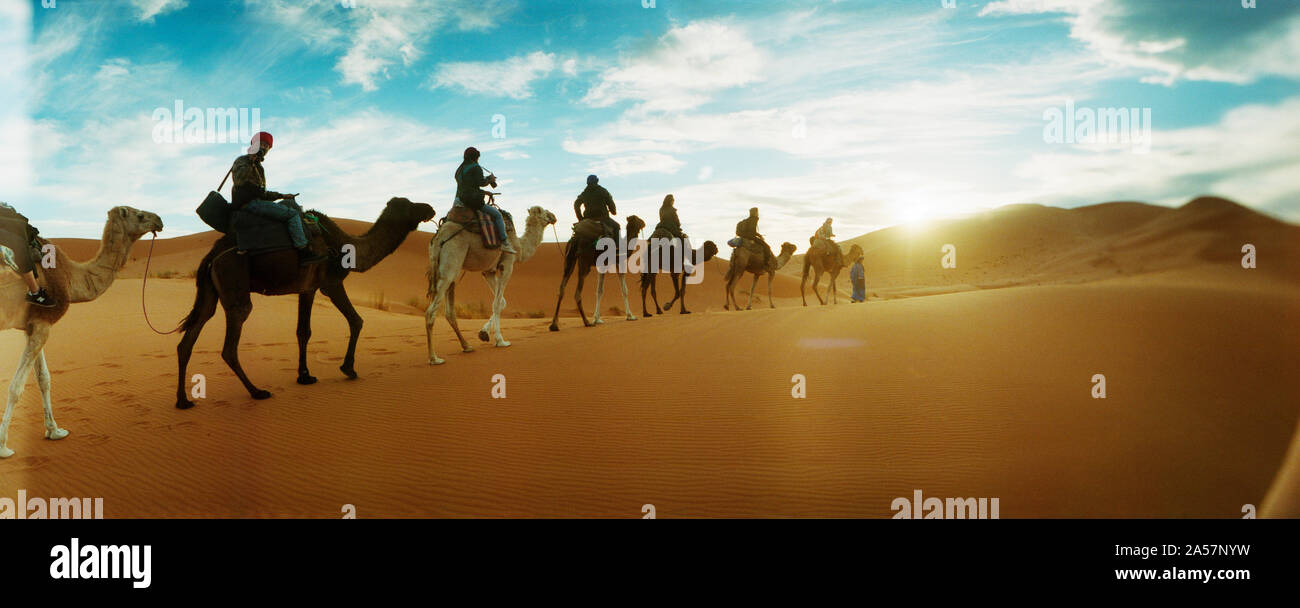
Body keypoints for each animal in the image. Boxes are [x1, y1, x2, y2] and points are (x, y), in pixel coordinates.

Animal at [172, 198, 434, 407]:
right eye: (410, 205)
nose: (429, 208)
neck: (346, 246)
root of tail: (211, 255)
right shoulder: (330, 283)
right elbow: (356, 320)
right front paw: (348, 368)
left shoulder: (307, 288)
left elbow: (303, 331)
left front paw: (305, 376)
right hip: (233, 281)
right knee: (230, 343)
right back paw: (257, 391)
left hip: (210, 292)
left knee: (191, 335)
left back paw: (183, 401)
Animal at [421, 203, 553, 366]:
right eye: (544, 212)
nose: (554, 216)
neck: (520, 247)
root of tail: (439, 237)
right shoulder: (507, 264)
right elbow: (497, 303)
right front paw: (500, 341)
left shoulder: (488, 271)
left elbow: (501, 302)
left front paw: (483, 334)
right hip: (451, 264)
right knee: (431, 311)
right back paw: (434, 358)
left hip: (449, 269)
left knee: (449, 311)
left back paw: (467, 346)